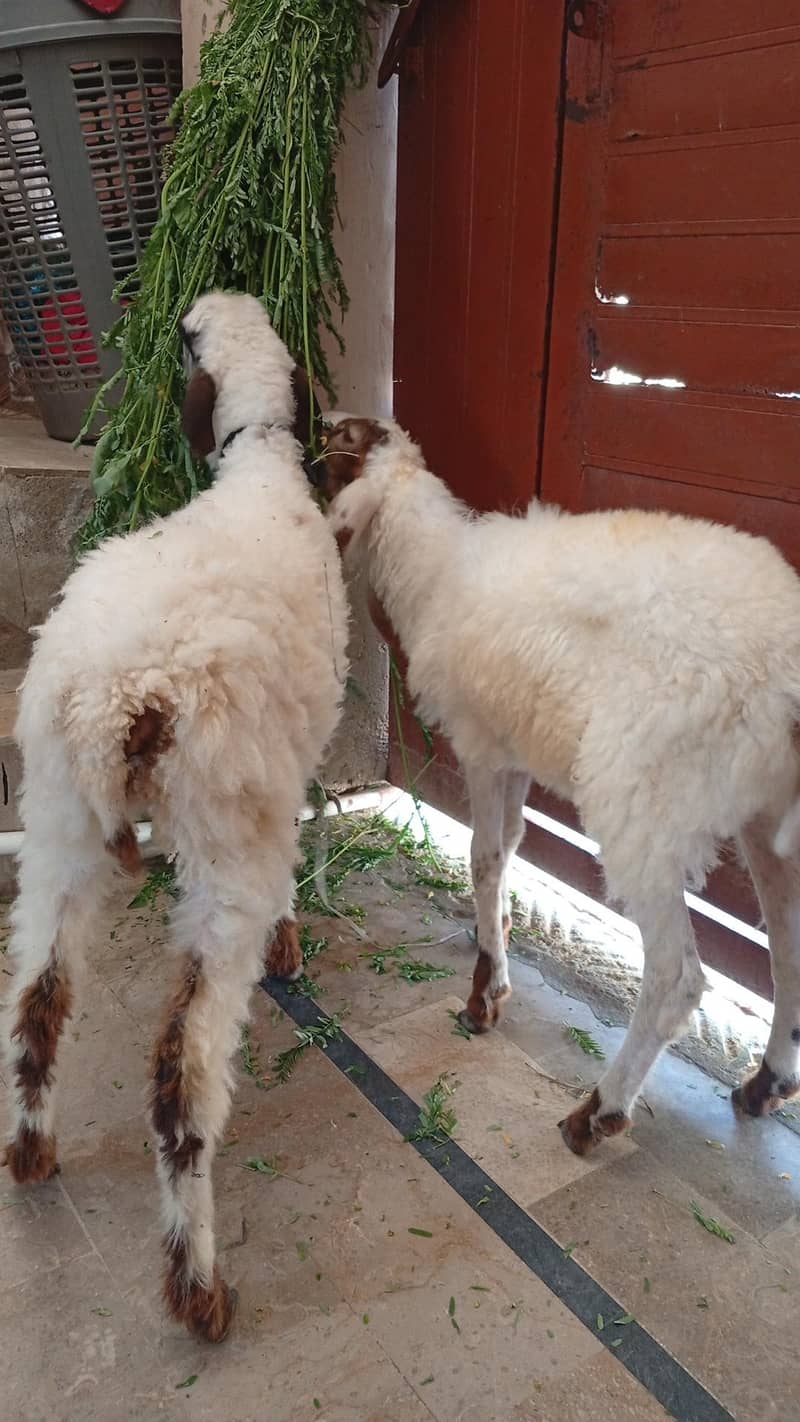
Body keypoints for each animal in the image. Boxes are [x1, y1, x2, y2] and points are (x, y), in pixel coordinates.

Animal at [2, 292, 349, 1342]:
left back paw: (31, 1157)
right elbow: (299, 845)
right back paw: (198, 1289)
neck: (261, 462)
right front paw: (291, 944)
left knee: (37, 999)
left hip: (57, 826)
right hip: (219, 852)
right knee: (181, 1078)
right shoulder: (289, 769)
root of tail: (119, 696)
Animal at [318, 414, 800, 1156]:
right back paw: (765, 1083)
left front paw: (485, 993)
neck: (433, 568)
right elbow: (513, 847)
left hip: (645, 804)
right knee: (788, 951)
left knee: (676, 978)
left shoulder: (483, 747)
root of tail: (788, 666)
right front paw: (492, 953)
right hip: (768, 818)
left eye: (337, 452)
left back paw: (599, 1112)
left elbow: (486, 859)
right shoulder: (513, 753)